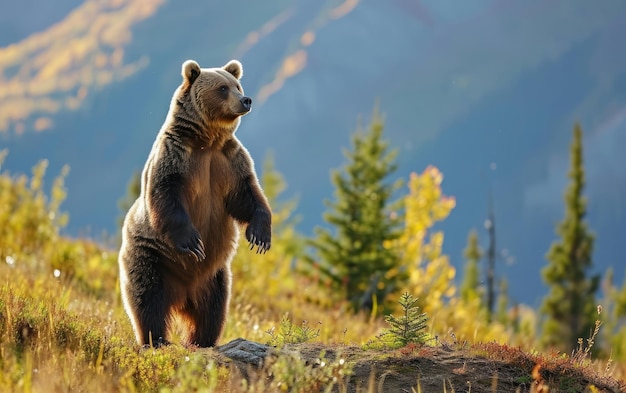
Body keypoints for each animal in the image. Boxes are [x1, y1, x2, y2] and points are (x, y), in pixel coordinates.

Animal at [118, 58, 270, 346]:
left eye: (237, 85)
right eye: (222, 88)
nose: (246, 100)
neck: (207, 141)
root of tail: (183, 295)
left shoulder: (229, 161)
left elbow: (248, 195)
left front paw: (260, 236)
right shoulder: (176, 156)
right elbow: (165, 193)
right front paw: (192, 241)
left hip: (214, 276)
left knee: (214, 309)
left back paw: (202, 340)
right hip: (152, 257)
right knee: (147, 297)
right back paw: (156, 339)